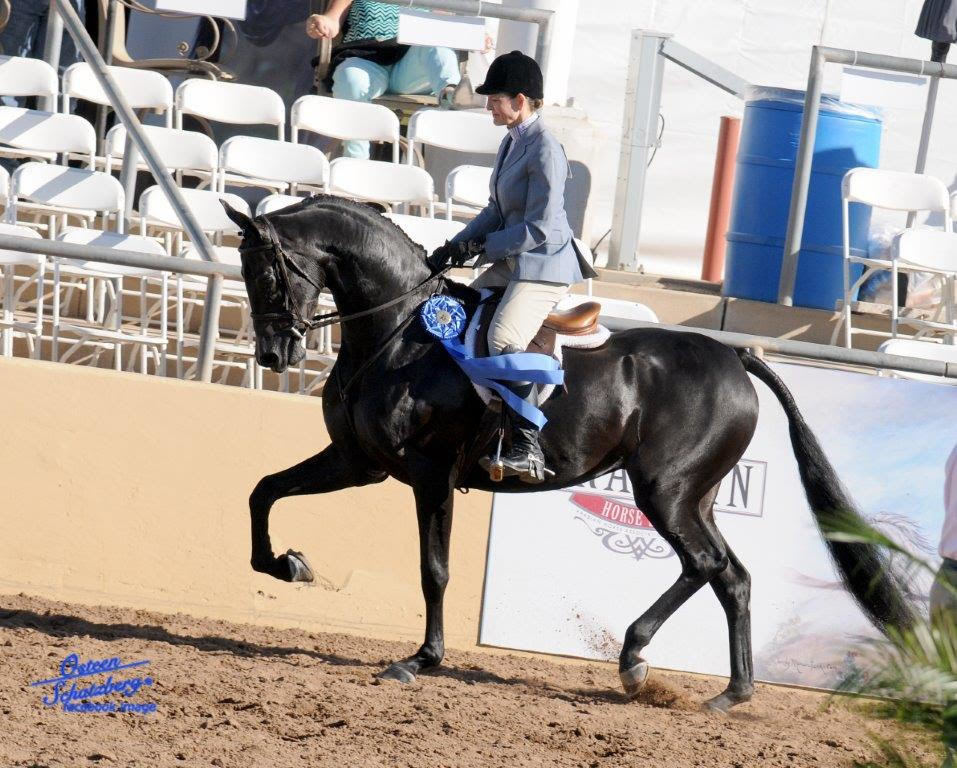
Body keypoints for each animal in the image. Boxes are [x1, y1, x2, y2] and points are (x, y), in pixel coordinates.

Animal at [221, 194, 915, 712]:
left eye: (267, 273)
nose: (274, 355)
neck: (401, 333)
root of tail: (734, 355)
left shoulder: (428, 473)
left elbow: (433, 570)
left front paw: (420, 660)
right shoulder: (358, 462)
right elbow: (262, 490)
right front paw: (287, 565)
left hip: (666, 491)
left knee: (704, 565)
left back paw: (635, 660)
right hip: (697, 495)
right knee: (732, 577)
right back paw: (730, 693)